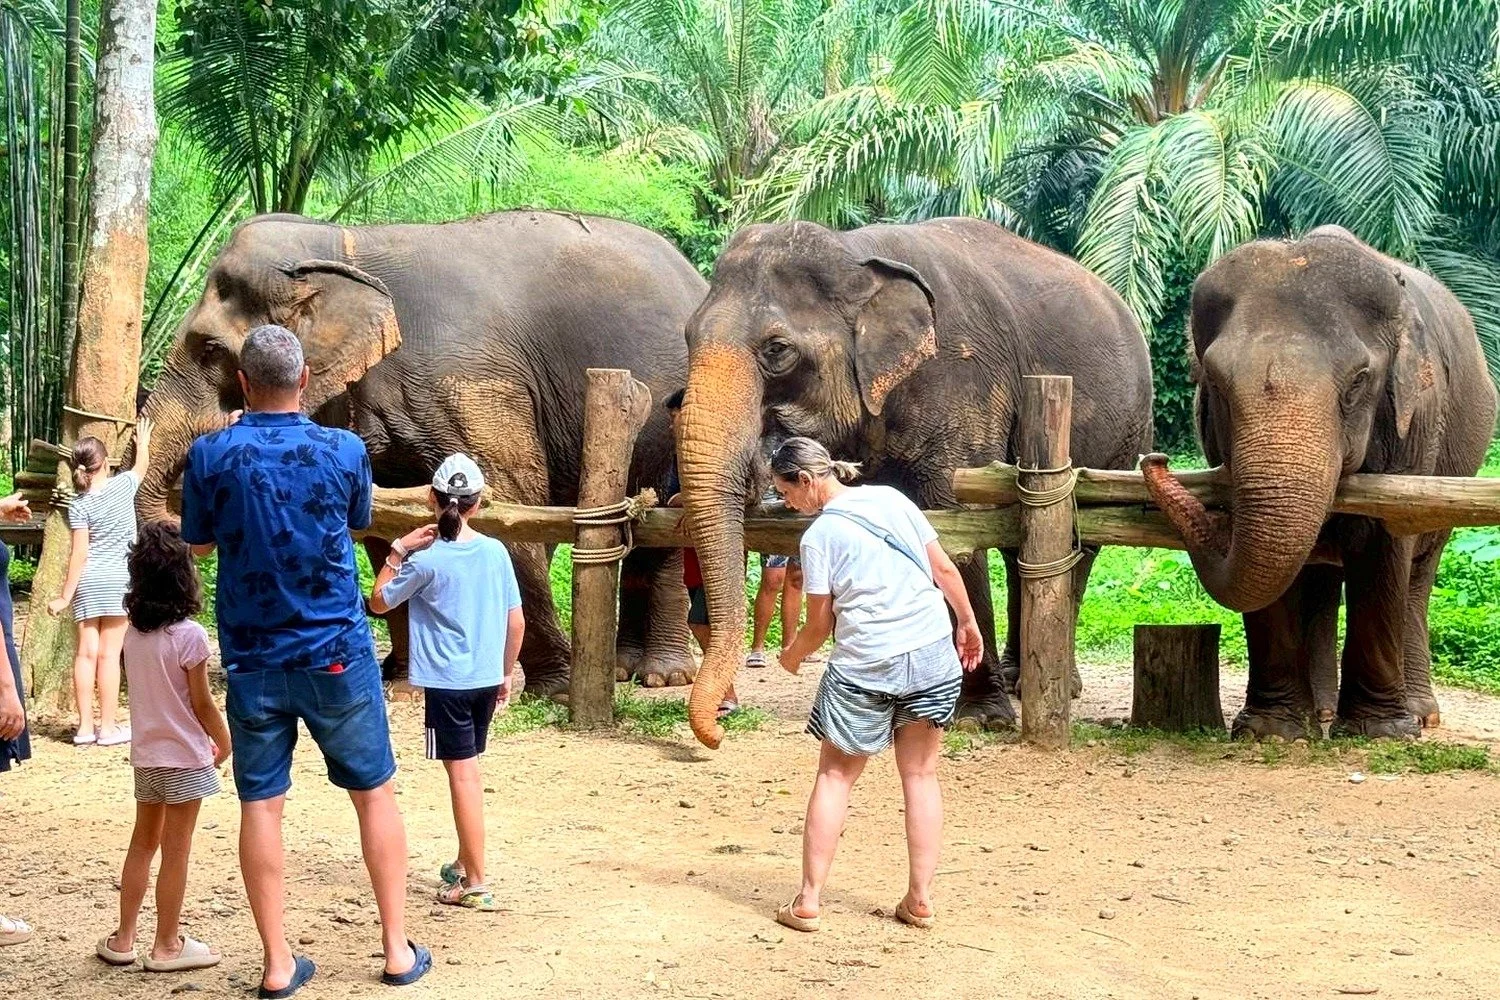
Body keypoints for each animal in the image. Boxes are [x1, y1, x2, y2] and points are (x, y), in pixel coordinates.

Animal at [136, 210, 709, 695]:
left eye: (209, 348)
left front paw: (556, 688)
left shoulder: (470, 379)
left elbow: (510, 500)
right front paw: (404, 681)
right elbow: (380, 525)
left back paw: (660, 676)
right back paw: (627, 669)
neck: (342, 240)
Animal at [676, 218, 1155, 747]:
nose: (718, 735)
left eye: (777, 350)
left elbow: (956, 535)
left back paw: (1054, 686)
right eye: (687, 336)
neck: (854, 251)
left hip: (1121, 437)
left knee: (1077, 547)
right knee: (1022, 554)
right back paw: (1019, 680)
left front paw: (979, 717)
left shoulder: (963, 381)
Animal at [1141, 226, 1498, 740]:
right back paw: (1324, 713)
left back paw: (1419, 715)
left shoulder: (1416, 424)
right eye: (1215, 382)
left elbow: (1384, 545)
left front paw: (1380, 732)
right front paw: (1270, 731)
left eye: (1359, 381)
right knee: (1321, 580)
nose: (1156, 459)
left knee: (1418, 575)